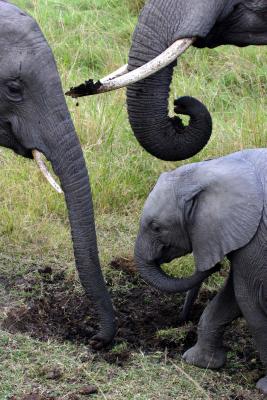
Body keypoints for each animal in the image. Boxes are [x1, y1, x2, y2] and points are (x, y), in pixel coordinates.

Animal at [135, 149, 267, 394]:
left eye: (156, 227)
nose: (216, 266)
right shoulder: (245, 239)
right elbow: (231, 297)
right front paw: (199, 362)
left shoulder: (256, 239)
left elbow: (250, 301)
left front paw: (264, 387)